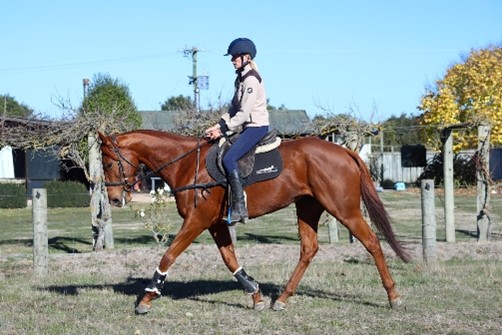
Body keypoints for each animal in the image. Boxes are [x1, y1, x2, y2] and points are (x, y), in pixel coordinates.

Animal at [99, 129, 412, 316]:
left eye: (109, 163)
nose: (114, 199)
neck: (187, 164)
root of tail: (344, 151)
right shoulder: (215, 224)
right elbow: (230, 260)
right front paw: (255, 295)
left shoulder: (197, 221)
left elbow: (168, 255)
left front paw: (146, 298)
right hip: (308, 208)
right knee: (309, 249)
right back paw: (282, 298)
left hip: (343, 209)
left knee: (371, 242)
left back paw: (393, 296)